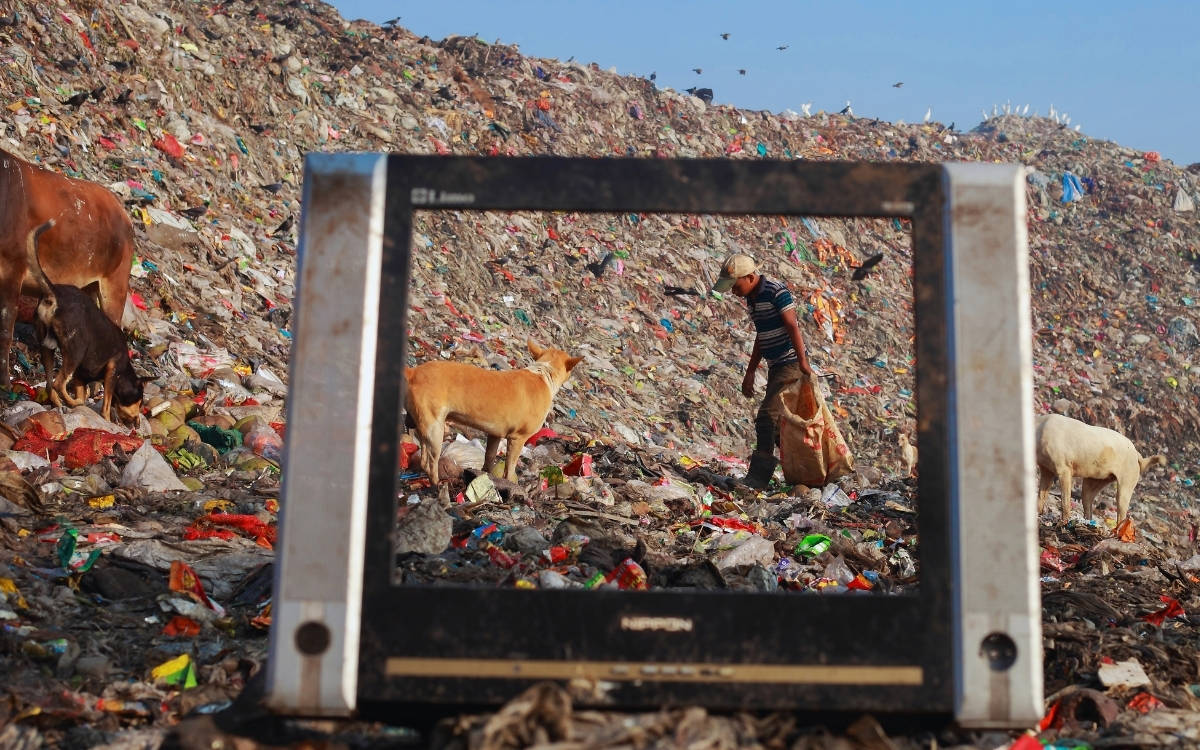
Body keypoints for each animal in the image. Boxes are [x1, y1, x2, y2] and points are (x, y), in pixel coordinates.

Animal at [1, 147, 135, 386]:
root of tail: (123, 214)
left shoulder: (12, 270)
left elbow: (5, 330)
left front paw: (5, 382)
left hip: (114, 287)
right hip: (89, 290)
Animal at [25, 219, 144, 424]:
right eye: (140, 400)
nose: (137, 422)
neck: (125, 370)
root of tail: (55, 293)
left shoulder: (81, 377)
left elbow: (83, 391)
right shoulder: (112, 371)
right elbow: (106, 404)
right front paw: (107, 419)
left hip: (46, 347)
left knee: (50, 384)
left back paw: (61, 404)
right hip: (76, 350)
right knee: (58, 383)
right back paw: (71, 403)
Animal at [405, 340, 583, 484]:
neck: (544, 372)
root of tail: (413, 372)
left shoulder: (494, 435)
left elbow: (489, 458)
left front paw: (486, 477)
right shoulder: (517, 439)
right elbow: (510, 468)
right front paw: (510, 483)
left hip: (421, 425)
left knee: (423, 458)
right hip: (435, 429)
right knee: (430, 462)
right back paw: (437, 485)